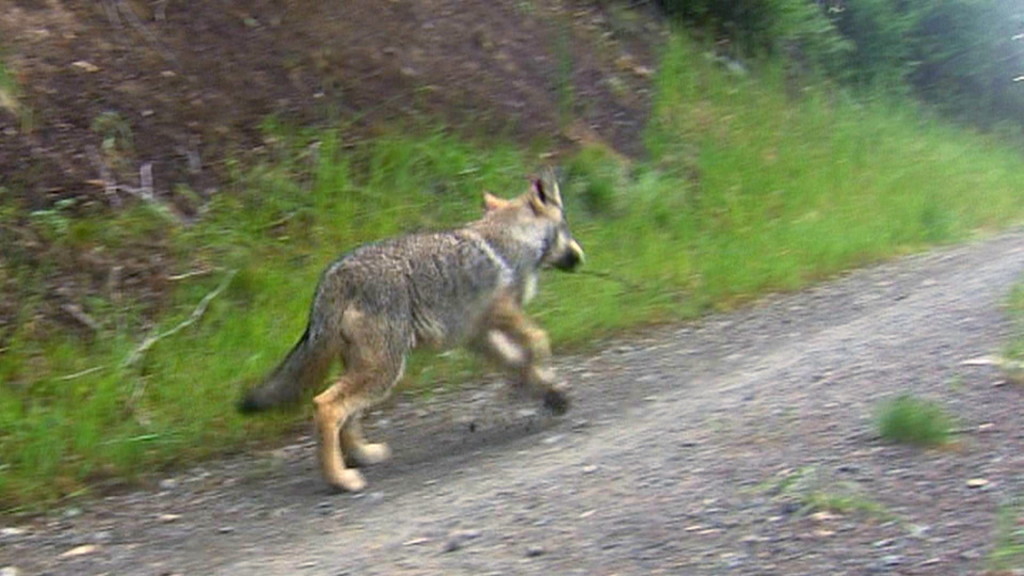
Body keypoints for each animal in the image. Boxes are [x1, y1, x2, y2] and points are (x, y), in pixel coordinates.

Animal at [237, 169, 585, 487]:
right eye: (568, 228)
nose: (581, 258)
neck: (513, 239)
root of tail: (334, 276)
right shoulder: (502, 315)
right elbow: (539, 341)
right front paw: (549, 379)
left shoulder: (478, 336)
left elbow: (520, 364)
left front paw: (552, 394)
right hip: (384, 372)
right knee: (326, 407)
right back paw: (341, 480)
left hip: (369, 370)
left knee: (347, 417)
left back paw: (362, 456)